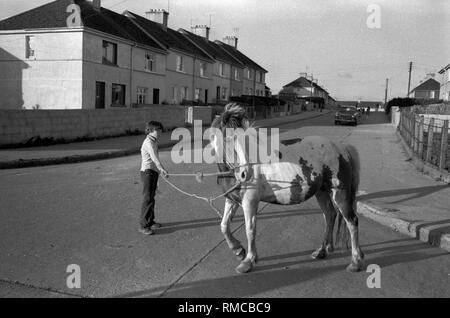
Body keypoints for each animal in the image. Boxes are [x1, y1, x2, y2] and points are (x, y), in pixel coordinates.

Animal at [209, 103, 364, 272]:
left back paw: (355, 261)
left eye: (246, 139)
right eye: (227, 138)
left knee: (352, 221)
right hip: (322, 193)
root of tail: (341, 148)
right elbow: (224, 225)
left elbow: (250, 230)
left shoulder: (249, 202)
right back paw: (322, 251)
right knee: (330, 215)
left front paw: (248, 260)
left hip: (339, 194)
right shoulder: (232, 200)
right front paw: (238, 249)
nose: (245, 173)